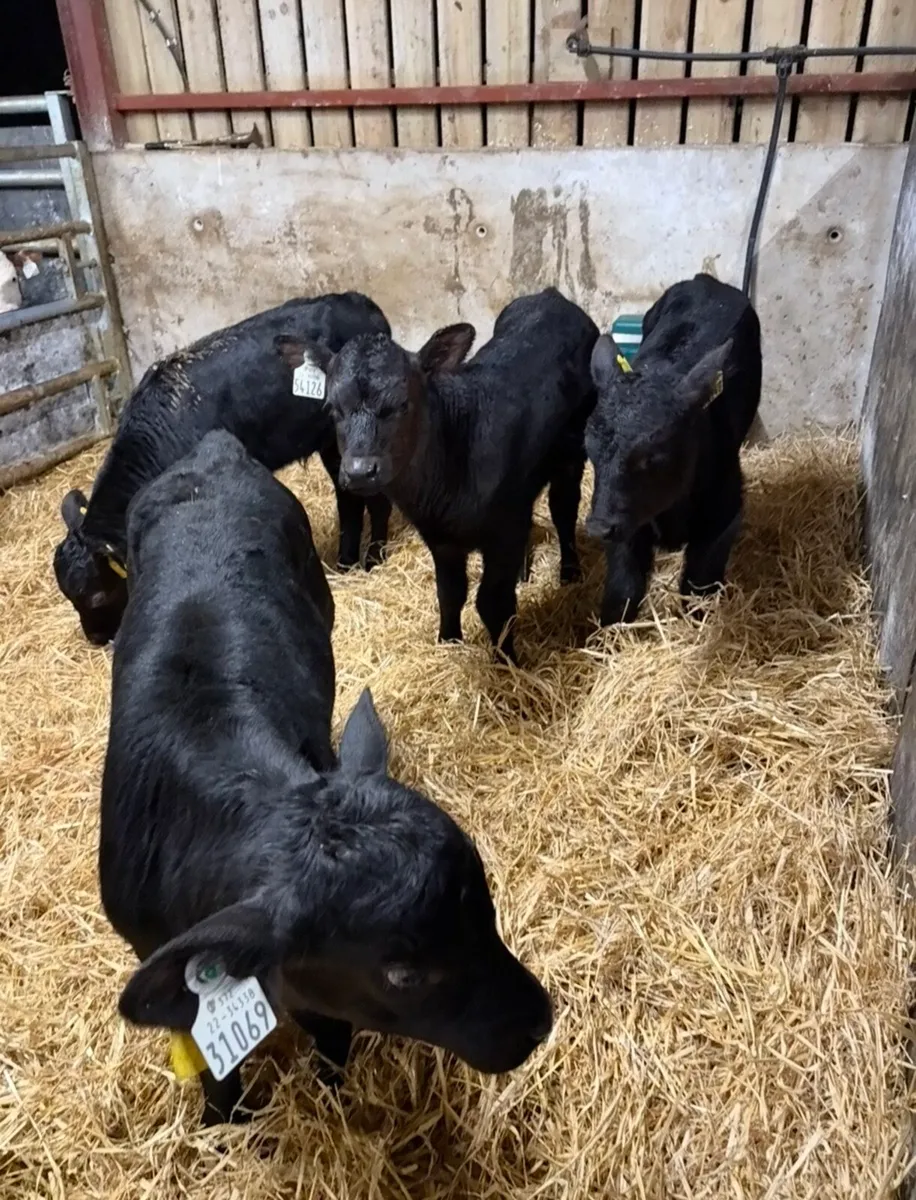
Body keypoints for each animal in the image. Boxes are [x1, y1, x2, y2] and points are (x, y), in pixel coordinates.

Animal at [53, 292, 393, 646]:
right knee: (349, 497)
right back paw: (346, 562)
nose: (96, 637)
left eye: (97, 597)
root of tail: (359, 301)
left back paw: (373, 559)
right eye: (69, 596)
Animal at [101, 431, 553, 1126]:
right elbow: (210, 1063)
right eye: (402, 973)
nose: (538, 1021)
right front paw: (225, 1120)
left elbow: (332, 1037)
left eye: (488, 909)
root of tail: (212, 450)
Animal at [276, 288, 599, 665]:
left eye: (402, 404)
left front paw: (507, 662)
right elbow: (450, 593)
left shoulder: (503, 531)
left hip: (572, 455)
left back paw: (570, 572)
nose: (359, 471)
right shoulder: (441, 539)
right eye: (331, 407)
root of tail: (551, 295)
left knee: (564, 509)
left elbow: (493, 602)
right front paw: (448, 641)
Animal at [584, 274, 762, 625]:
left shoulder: (725, 513)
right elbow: (624, 587)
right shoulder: (627, 525)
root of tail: (706, 280)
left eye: (653, 455)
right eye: (589, 449)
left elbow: (699, 585)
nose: (598, 526)